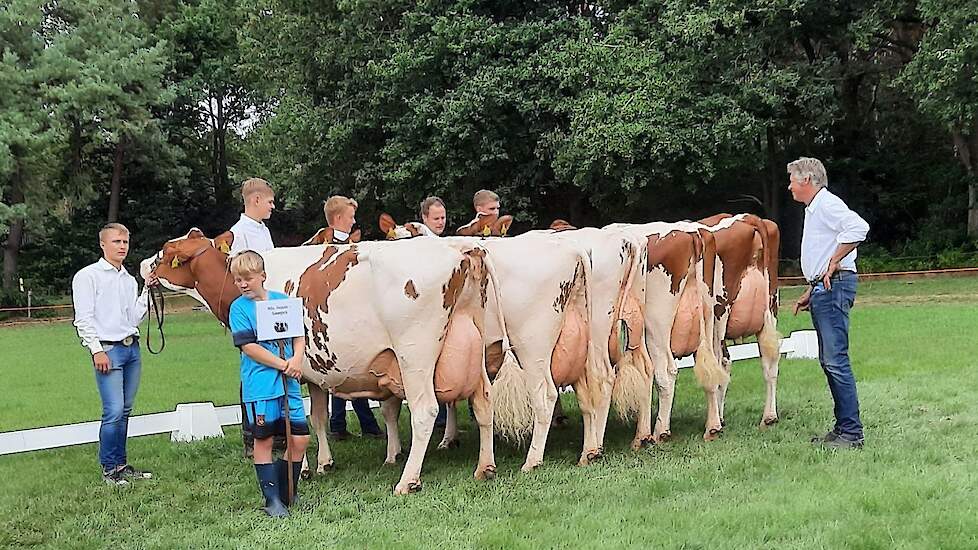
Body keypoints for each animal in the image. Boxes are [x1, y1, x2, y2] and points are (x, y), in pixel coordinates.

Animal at [141, 229, 508, 496]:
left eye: (166, 251)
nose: (142, 264)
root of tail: (463, 250)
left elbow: (291, 416)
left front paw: (300, 468)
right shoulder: (314, 372)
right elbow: (316, 417)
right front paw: (323, 463)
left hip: (414, 353)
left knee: (425, 411)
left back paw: (407, 481)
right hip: (476, 346)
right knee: (484, 402)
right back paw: (485, 467)